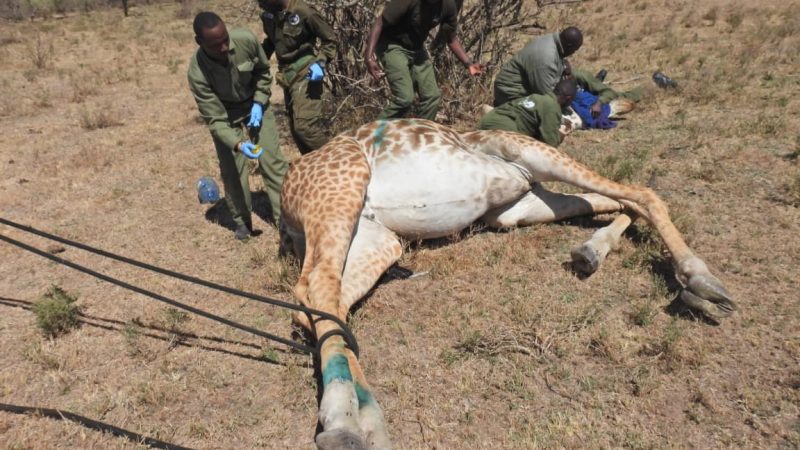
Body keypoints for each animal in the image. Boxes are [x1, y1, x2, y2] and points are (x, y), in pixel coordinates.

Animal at [279, 119, 735, 450]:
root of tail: (287, 190)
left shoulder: (518, 204)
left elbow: (624, 201)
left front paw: (592, 251)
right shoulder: (524, 155)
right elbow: (643, 194)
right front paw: (701, 281)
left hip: (383, 234)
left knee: (320, 300)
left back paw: (368, 422)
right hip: (343, 191)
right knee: (318, 285)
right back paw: (344, 418)